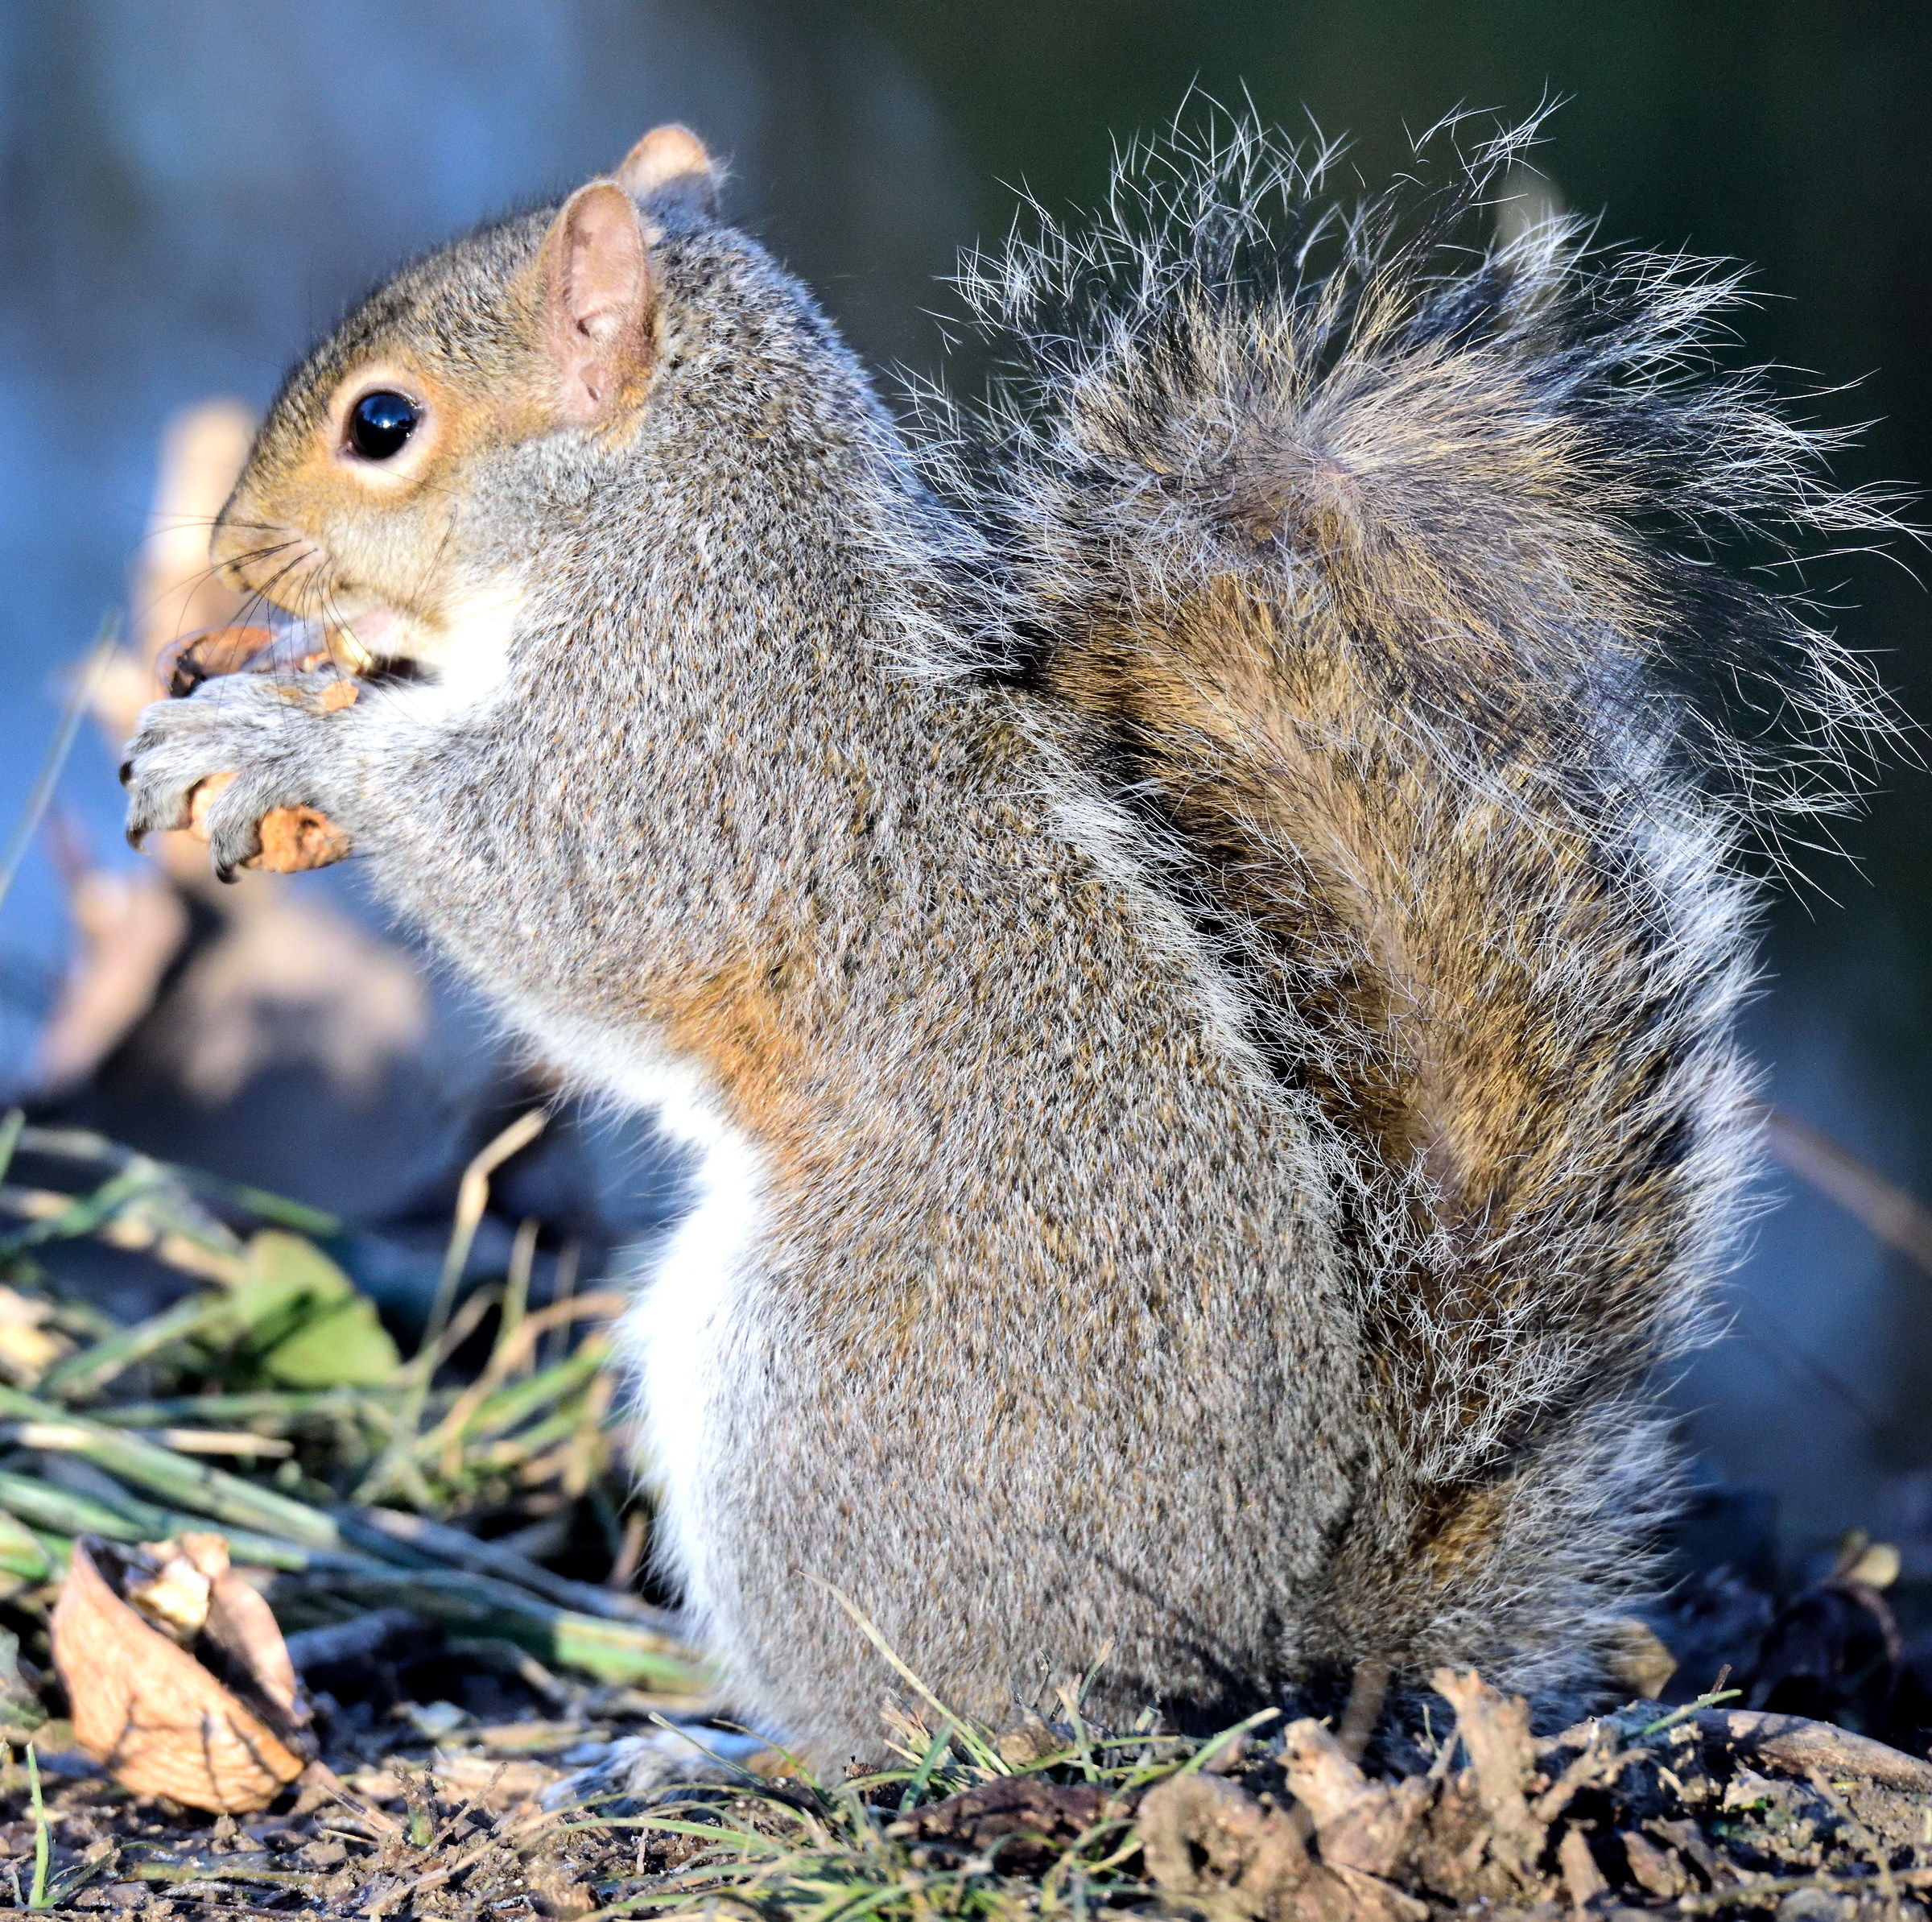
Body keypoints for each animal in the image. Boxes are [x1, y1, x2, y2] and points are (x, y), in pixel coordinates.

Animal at [121, 115, 1893, 1770]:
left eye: (383, 425)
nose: (232, 552)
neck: (666, 530)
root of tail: (1249, 1639)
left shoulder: (685, 756)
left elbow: (551, 884)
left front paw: (280, 738)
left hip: (824, 1401)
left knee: (917, 1716)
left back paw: (716, 1750)